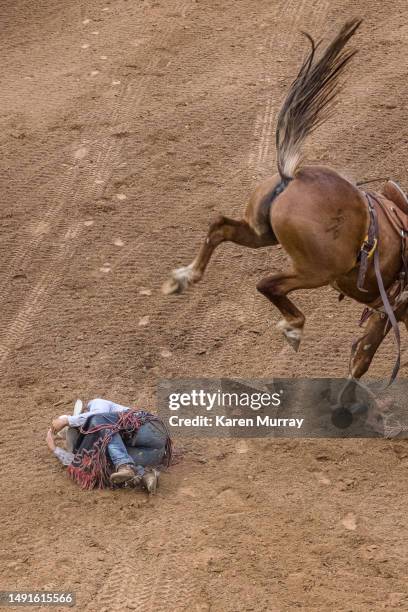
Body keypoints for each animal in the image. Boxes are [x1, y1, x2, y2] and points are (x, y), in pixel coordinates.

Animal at [163, 17, 408, 392]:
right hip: (316, 270)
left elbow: (361, 353)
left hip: (261, 231)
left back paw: (184, 277)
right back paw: (292, 328)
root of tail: (294, 176)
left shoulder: (386, 309)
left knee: (219, 226)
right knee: (268, 284)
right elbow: (362, 359)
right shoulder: (390, 310)